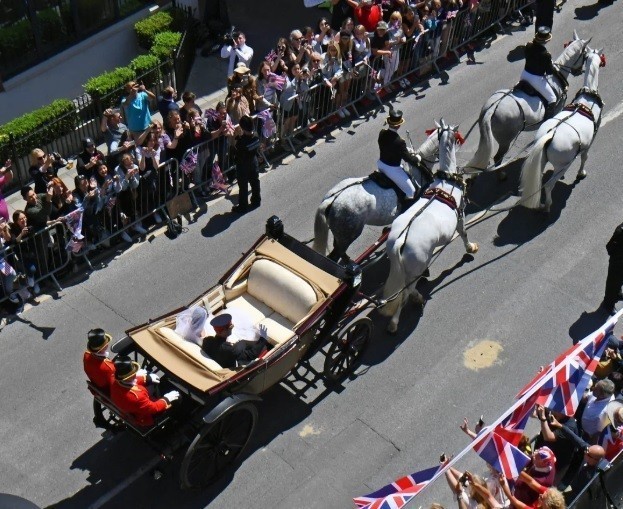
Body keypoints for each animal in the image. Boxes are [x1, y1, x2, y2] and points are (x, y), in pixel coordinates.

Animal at [380, 119, 478, 334]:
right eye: (455, 136)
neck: (446, 181)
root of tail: (401, 239)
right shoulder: (460, 215)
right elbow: (464, 233)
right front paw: (470, 247)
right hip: (417, 267)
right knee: (407, 291)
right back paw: (400, 316)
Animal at [468, 32, 596, 171]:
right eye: (585, 56)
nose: (577, 72)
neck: (555, 78)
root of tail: (493, 107)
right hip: (505, 141)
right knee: (498, 158)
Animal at [520, 47, 608, 212]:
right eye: (600, 58)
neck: (587, 98)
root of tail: (550, 135)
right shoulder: (590, 142)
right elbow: (584, 158)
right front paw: (581, 173)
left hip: (542, 160)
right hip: (562, 165)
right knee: (548, 185)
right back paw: (547, 205)